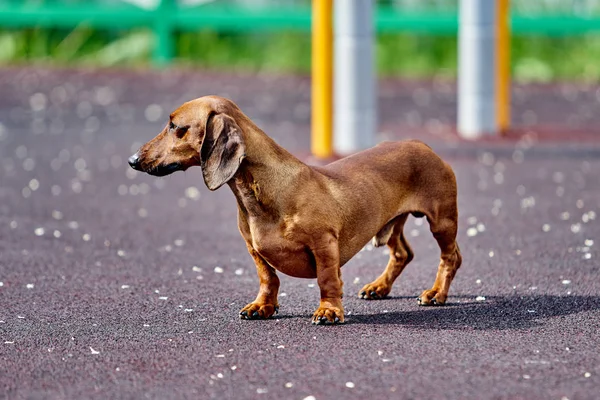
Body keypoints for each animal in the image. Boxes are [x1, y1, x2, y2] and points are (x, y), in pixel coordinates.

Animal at [129, 96, 462, 324]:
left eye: (176, 127)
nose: (133, 160)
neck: (260, 194)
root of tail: (422, 144)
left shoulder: (324, 244)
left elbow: (327, 280)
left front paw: (329, 311)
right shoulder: (253, 248)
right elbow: (268, 278)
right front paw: (262, 306)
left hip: (441, 221)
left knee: (451, 258)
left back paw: (436, 293)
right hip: (390, 225)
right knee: (403, 253)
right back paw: (378, 287)